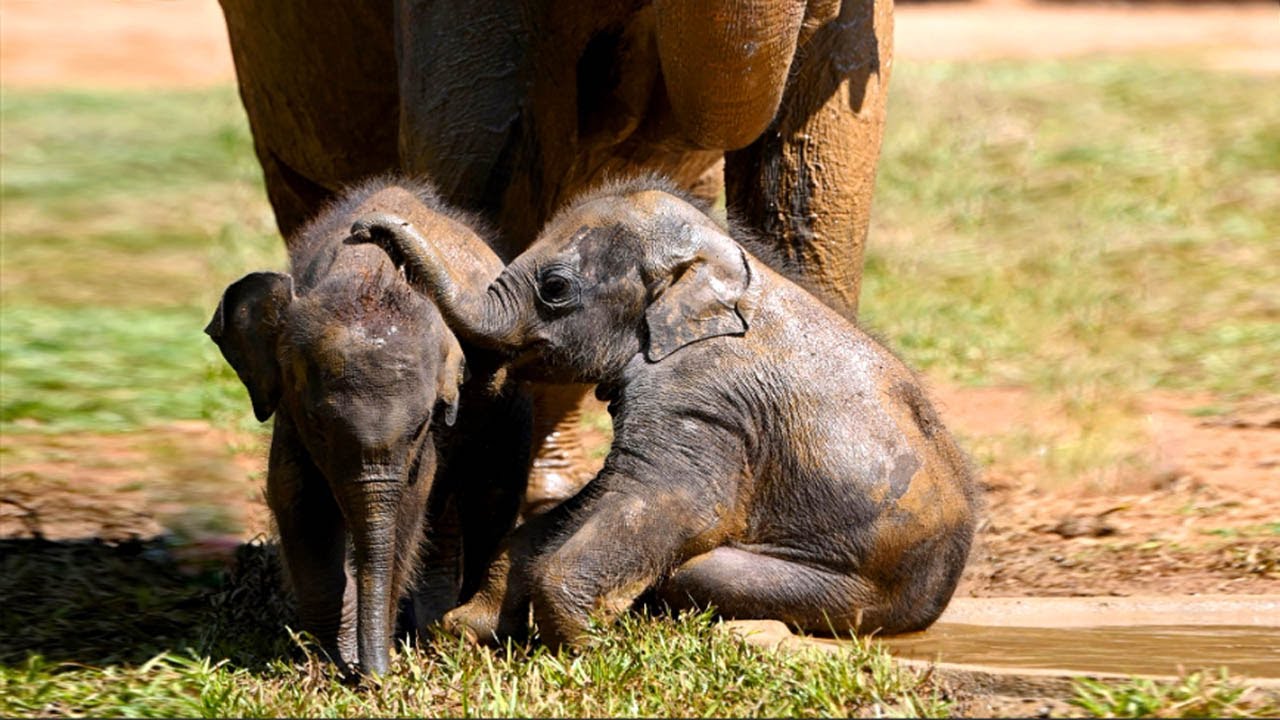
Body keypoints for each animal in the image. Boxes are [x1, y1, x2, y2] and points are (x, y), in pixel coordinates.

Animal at [205, 177, 531, 675]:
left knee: (490, 494)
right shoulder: (288, 407)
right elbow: (295, 496)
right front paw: (332, 661)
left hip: (510, 405)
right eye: (317, 423)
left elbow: (409, 505)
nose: (377, 676)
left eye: (422, 425)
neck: (367, 273)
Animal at [346, 177, 979, 649]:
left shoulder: (704, 397)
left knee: (699, 570)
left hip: (854, 591)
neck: (719, 262)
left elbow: (675, 502)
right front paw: (465, 631)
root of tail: (935, 602)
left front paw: (587, 646)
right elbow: (598, 497)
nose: (365, 228)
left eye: (556, 288)